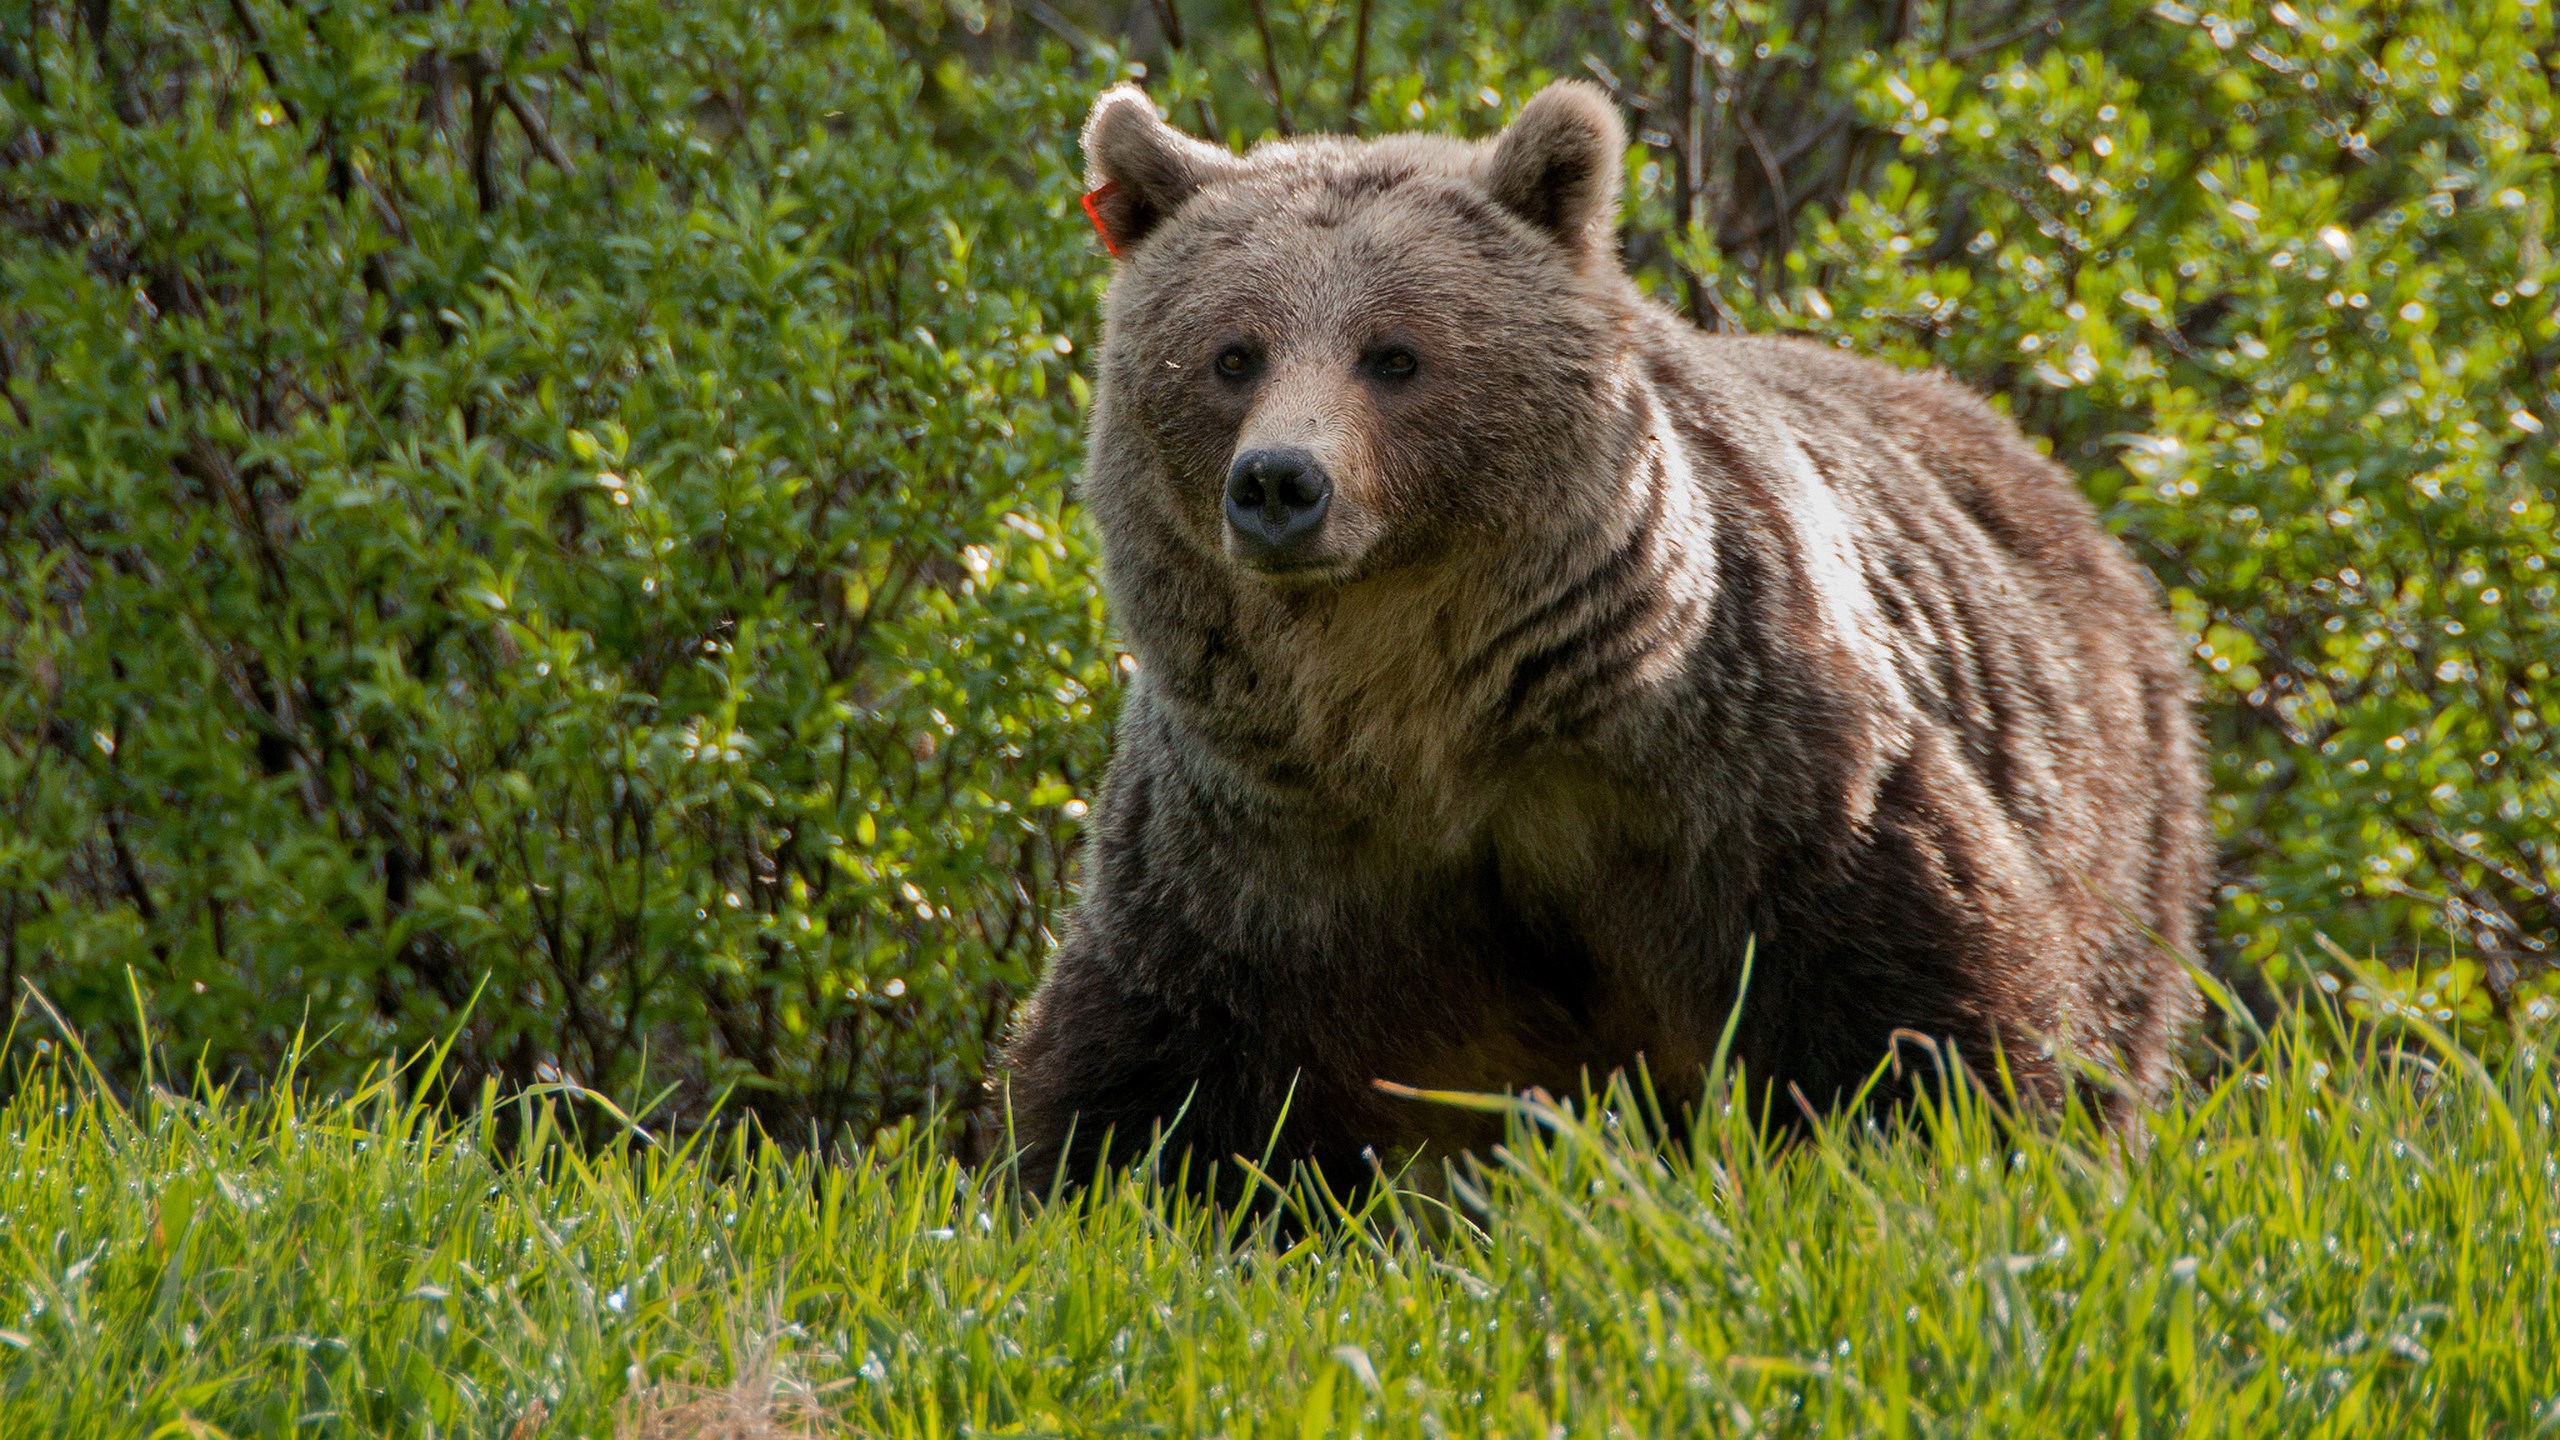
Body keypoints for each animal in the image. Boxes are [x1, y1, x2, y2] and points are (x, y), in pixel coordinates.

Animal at [998, 80, 2209, 1197]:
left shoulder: (1746, 778)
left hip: (2115, 810)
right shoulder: (1257, 855)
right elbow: (1157, 1073)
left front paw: (1949, 1149)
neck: (1422, 714)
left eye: (1394, 355)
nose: (1279, 483)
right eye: (1231, 355)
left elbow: (1912, 1006)